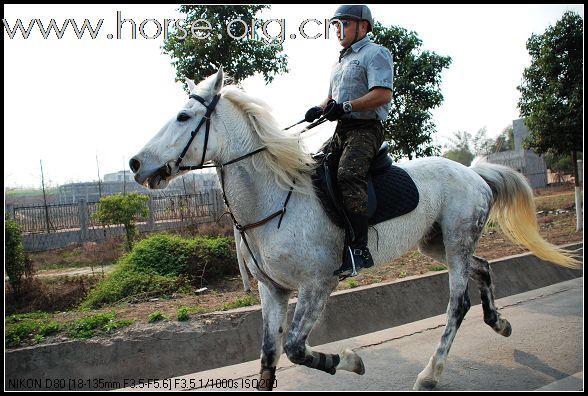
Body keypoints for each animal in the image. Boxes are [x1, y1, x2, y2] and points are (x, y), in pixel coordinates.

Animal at [130, 69, 580, 390]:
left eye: (184, 116)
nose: (136, 164)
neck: (274, 200)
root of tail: (473, 173)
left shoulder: (317, 284)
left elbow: (295, 349)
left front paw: (351, 361)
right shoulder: (271, 290)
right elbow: (267, 360)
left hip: (456, 241)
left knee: (457, 303)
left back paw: (430, 374)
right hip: (437, 244)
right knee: (483, 268)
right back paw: (498, 323)